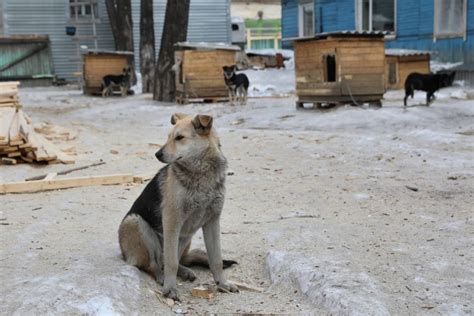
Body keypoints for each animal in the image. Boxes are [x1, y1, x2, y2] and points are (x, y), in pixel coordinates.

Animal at [117, 112, 239, 300]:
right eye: (168, 137)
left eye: (179, 138)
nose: (157, 154)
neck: (201, 173)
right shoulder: (172, 221)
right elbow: (171, 262)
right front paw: (170, 289)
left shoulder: (212, 221)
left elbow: (216, 259)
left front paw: (222, 284)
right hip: (136, 223)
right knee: (154, 264)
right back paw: (162, 278)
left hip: (186, 236)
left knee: (174, 260)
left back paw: (184, 271)